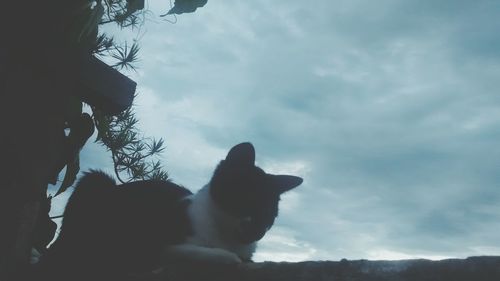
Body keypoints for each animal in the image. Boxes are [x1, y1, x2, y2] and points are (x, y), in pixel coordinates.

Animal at [37, 142, 302, 278]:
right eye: (247, 199)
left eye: (270, 215)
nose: (259, 229)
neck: (225, 237)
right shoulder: (156, 244)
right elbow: (209, 254)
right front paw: (227, 258)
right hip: (96, 181)